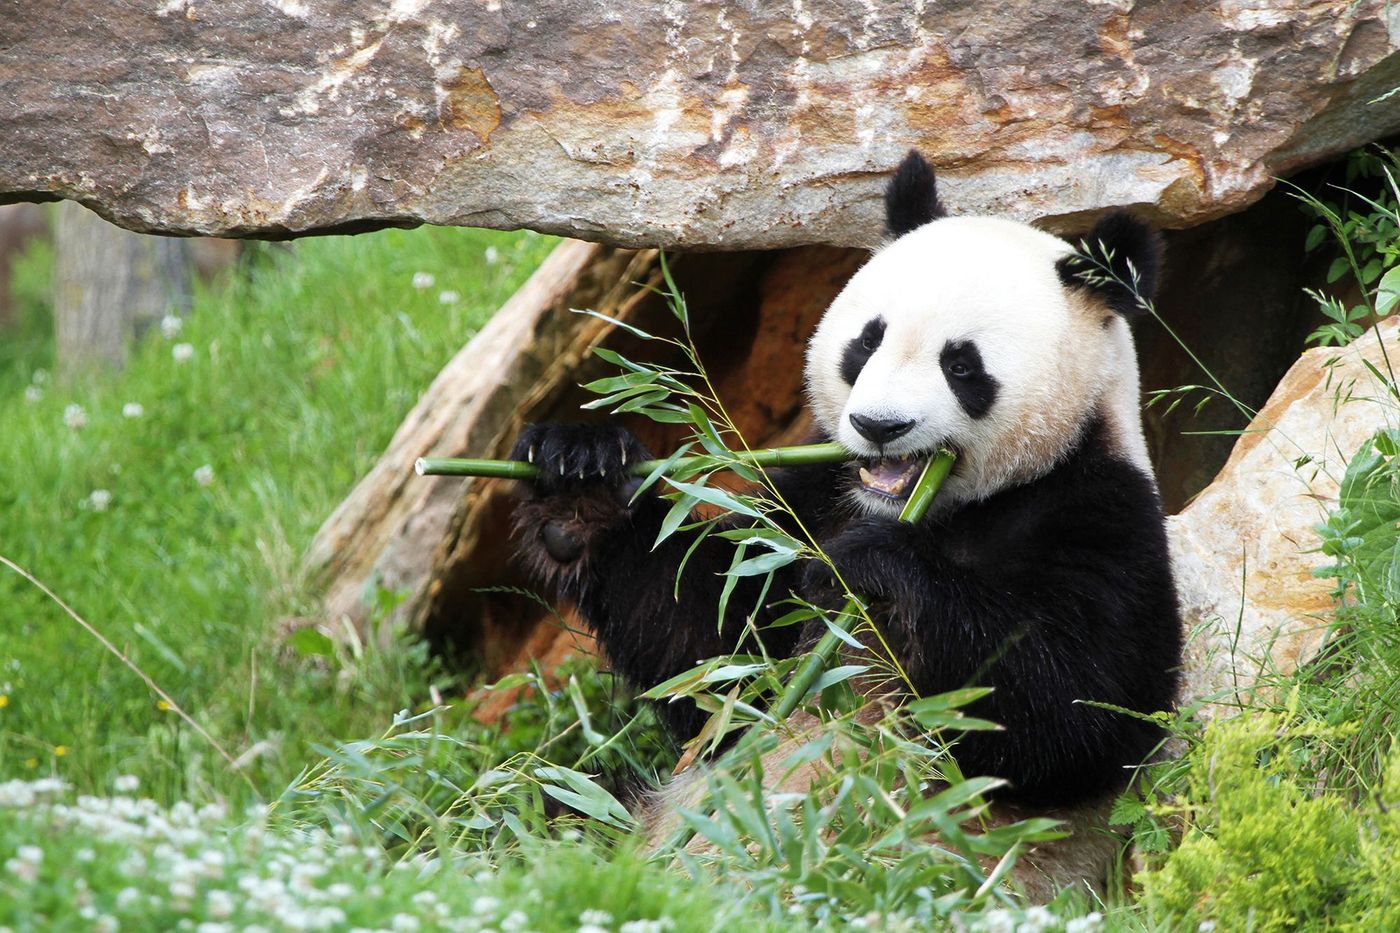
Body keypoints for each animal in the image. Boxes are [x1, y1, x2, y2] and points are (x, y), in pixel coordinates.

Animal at [509, 151, 1182, 818]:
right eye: (867, 340)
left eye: (961, 365)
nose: (879, 426)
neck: (937, 508)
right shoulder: (815, 499)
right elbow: (710, 643)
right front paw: (580, 478)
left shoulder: (1097, 510)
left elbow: (1078, 712)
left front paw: (872, 565)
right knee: (556, 809)